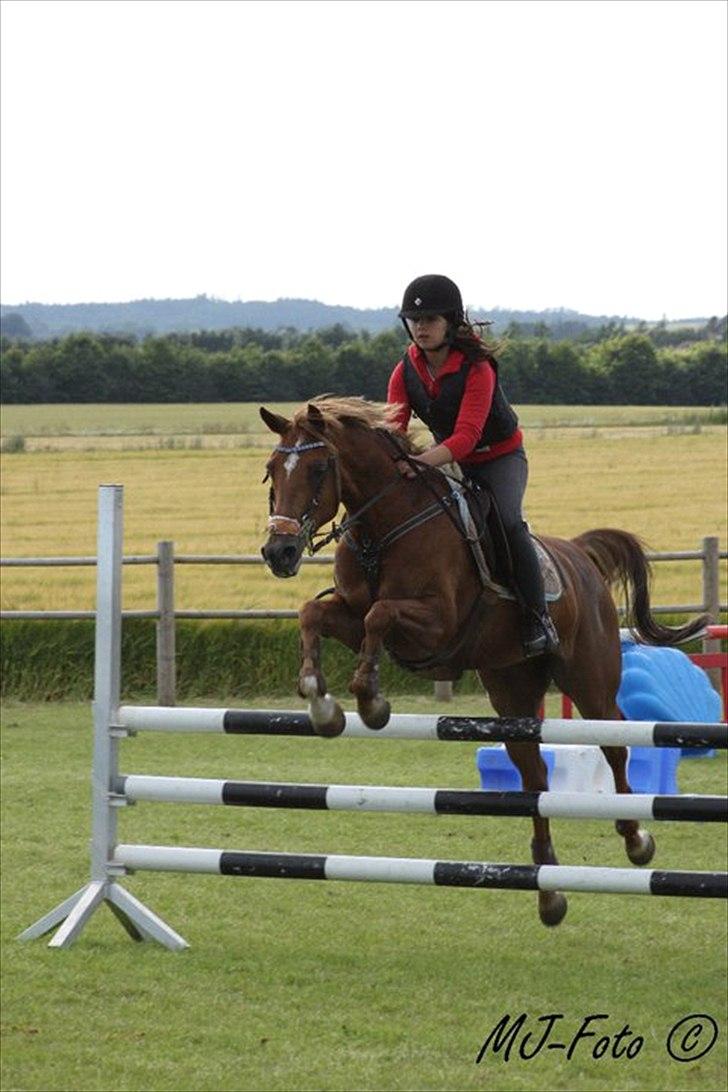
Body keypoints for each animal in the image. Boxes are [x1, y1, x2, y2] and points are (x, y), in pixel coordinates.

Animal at [258, 393, 707, 921]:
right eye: (271, 469)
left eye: (317, 469)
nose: (279, 552)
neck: (382, 529)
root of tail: (578, 555)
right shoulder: (347, 613)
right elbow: (313, 614)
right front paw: (320, 703)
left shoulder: (436, 624)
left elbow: (380, 616)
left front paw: (370, 700)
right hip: (512, 689)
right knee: (534, 780)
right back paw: (549, 892)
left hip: (590, 678)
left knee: (614, 742)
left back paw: (635, 838)